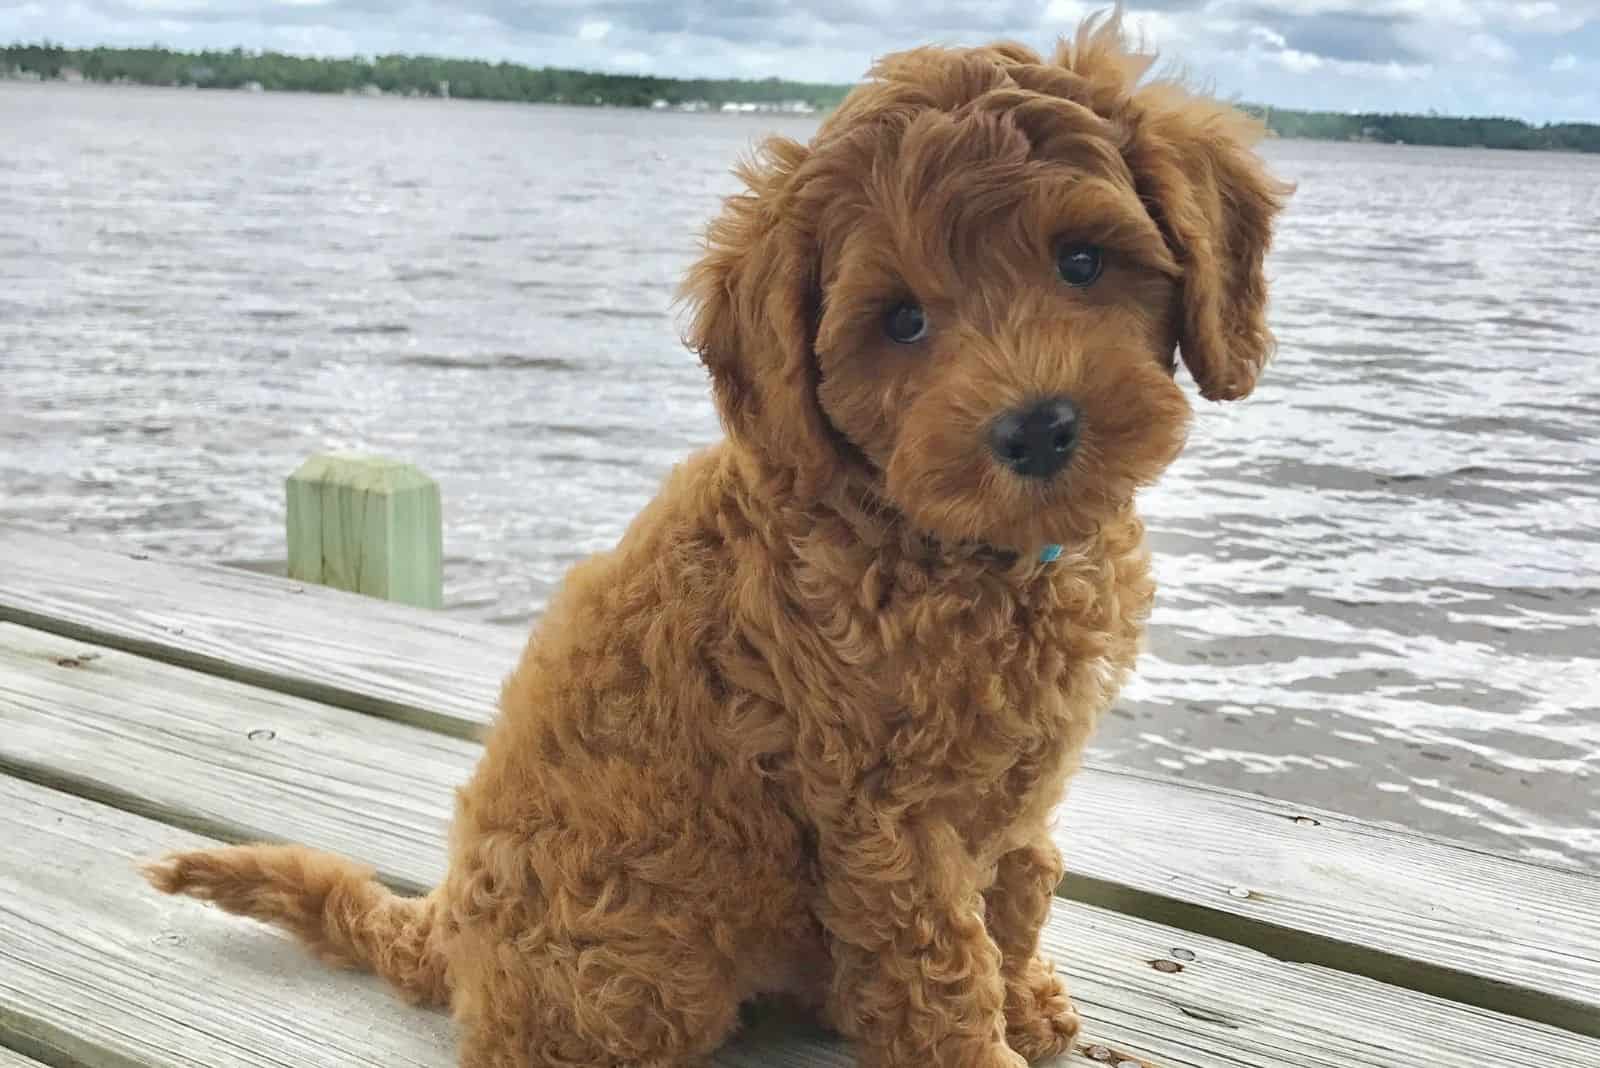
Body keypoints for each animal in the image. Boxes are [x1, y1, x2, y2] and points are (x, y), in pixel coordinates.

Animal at [147, 16, 1286, 1068]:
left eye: (1082, 262)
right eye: (902, 322)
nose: (1037, 427)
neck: (965, 550)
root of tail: (448, 927)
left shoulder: (1013, 788)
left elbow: (1021, 887)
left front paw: (1030, 1003)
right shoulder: (884, 817)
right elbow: (940, 961)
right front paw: (983, 1038)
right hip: (639, 962)